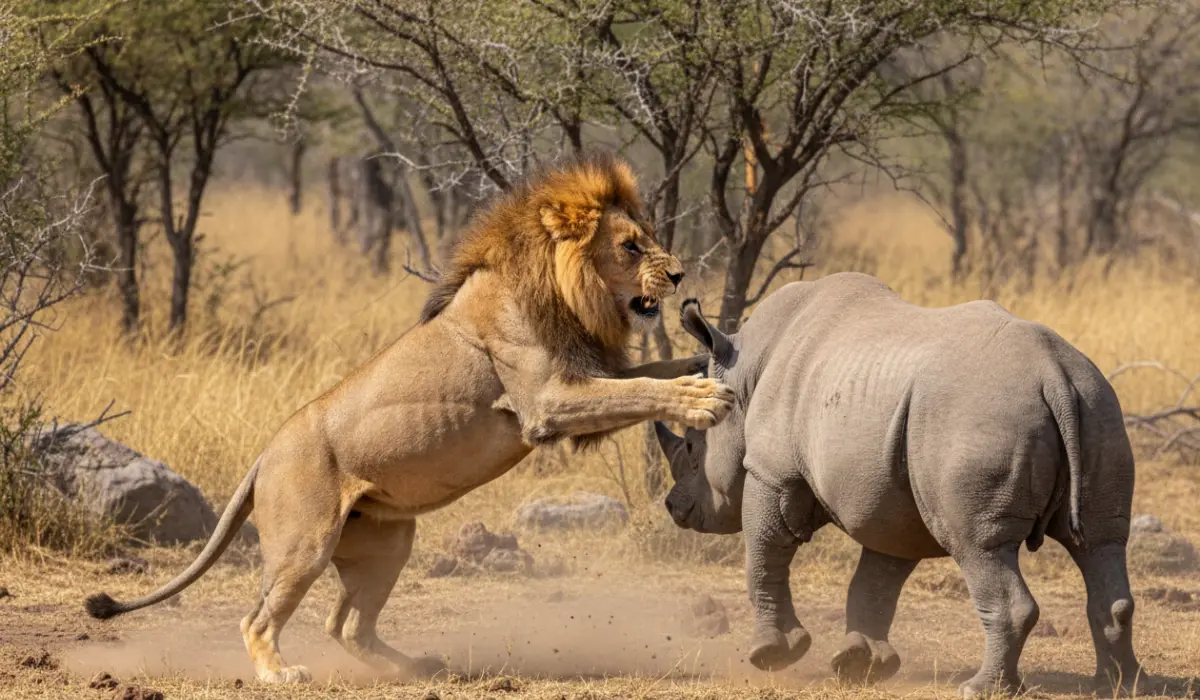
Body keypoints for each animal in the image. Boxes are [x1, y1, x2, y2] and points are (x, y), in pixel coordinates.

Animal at [83, 153, 734, 684]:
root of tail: (265, 454)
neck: (564, 290)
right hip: (304, 543)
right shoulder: (547, 403)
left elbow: (650, 373)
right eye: (630, 246)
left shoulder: (580, 378)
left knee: (348, 627)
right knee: (258, 619)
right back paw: (280, 673)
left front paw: (708, 357)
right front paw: (701, 400)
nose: (678, 275)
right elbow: (642, 387)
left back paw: (419, 667)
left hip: (388, 542)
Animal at [654, 272, 1141, 697]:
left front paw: (774, 654)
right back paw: (1118, 686)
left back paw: (980, 689)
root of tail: (1053, 374)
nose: (673, 507)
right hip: (1098, 405)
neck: (746, 371)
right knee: (1100, 542)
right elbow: (876, 577)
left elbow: (765, 553)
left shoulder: (772, 470)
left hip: (980, 419)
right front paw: (860, 667)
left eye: (693, 446)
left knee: (979, 547)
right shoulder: (889, 498)